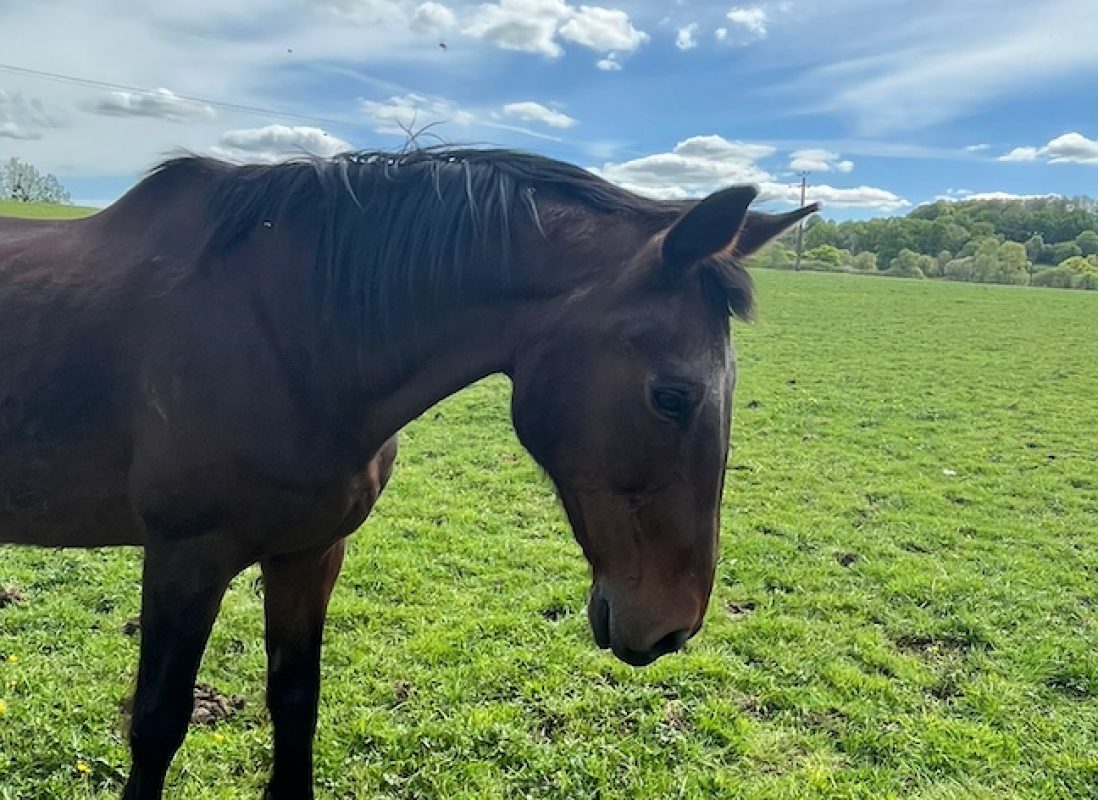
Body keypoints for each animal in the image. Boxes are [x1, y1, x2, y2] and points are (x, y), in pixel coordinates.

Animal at [0, 146, 817, 798]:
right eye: (672, 396)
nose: (673, 627)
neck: (292, 335)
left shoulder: (309, 553)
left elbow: (295, 703)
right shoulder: (184, 558)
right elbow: (158, 726)